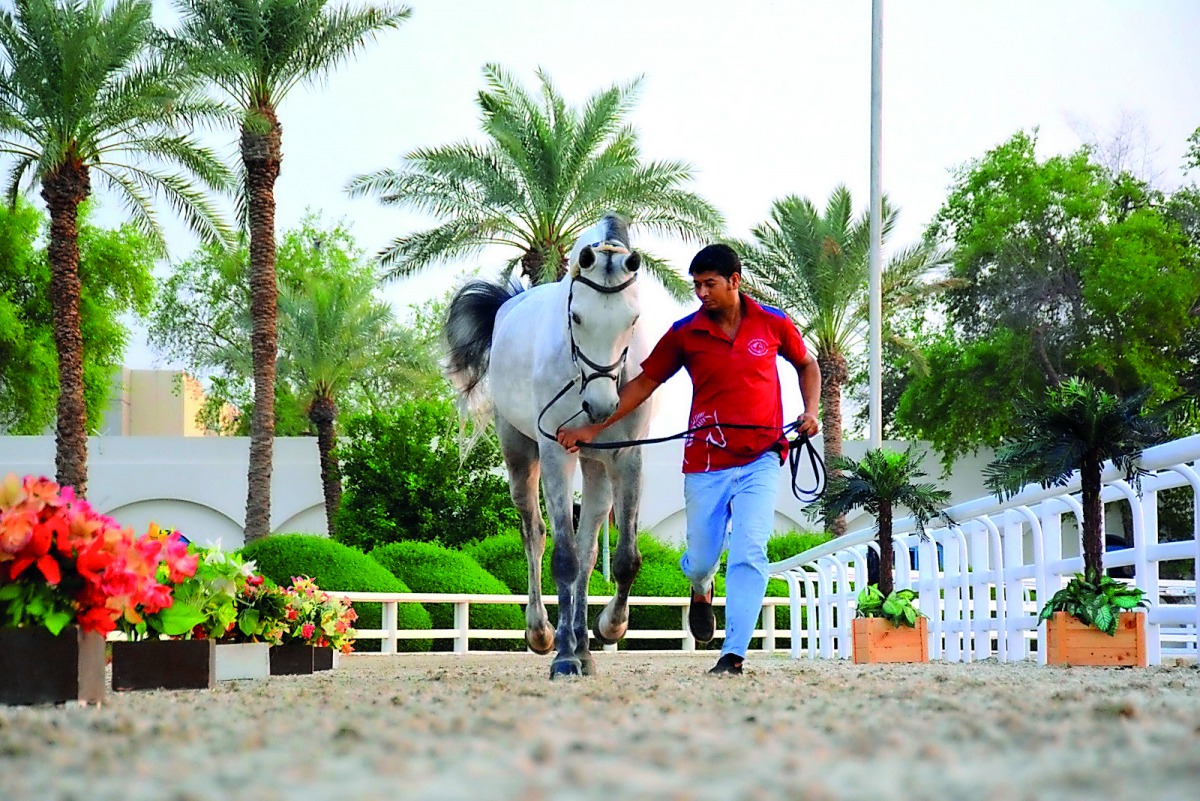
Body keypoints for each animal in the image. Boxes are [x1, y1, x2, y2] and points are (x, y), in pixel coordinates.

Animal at [445, 214, 650, 678]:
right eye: (575, 317)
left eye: (633, 319)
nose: (602, 406)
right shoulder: (557, 453)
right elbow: (564, 557)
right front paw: (563, 656)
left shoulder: (626, 457)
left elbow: (623, 558)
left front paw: (610, 628)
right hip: (520, 454)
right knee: (535, 536)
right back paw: (545, 634)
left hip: (596, 468)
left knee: (590, 551)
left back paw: (584, 648)